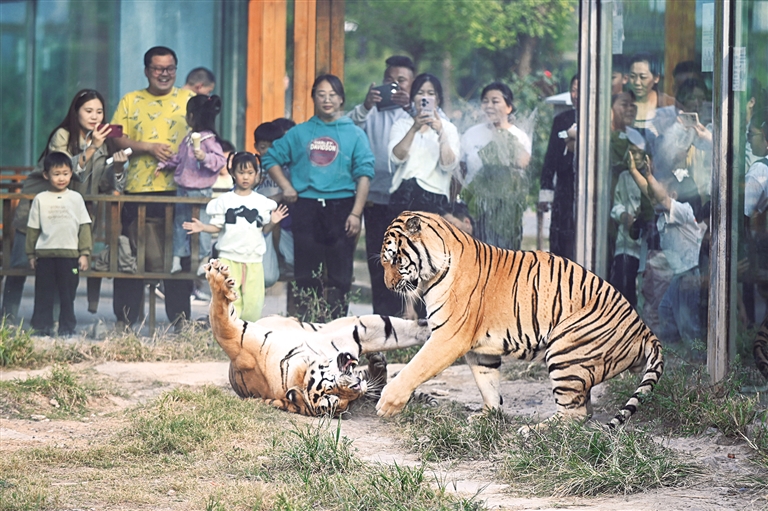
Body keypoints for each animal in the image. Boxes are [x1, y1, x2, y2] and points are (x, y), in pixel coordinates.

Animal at [205, 258, 433, 417]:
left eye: (330, 389)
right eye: (336, 399)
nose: (357, 388)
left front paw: (218, 279)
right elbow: (222, 325)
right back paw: (377, 365)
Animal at [376, 211, 664, 429]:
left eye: (395, 260)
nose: (388, 286)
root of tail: (644, 329)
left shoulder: (449, 337)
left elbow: (415, 367)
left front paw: (387, 402)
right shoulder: (480, 351)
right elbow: (488, 383)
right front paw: (488, 415)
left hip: (565, 350)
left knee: (575, 414)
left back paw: (532, 431)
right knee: (584, 409)